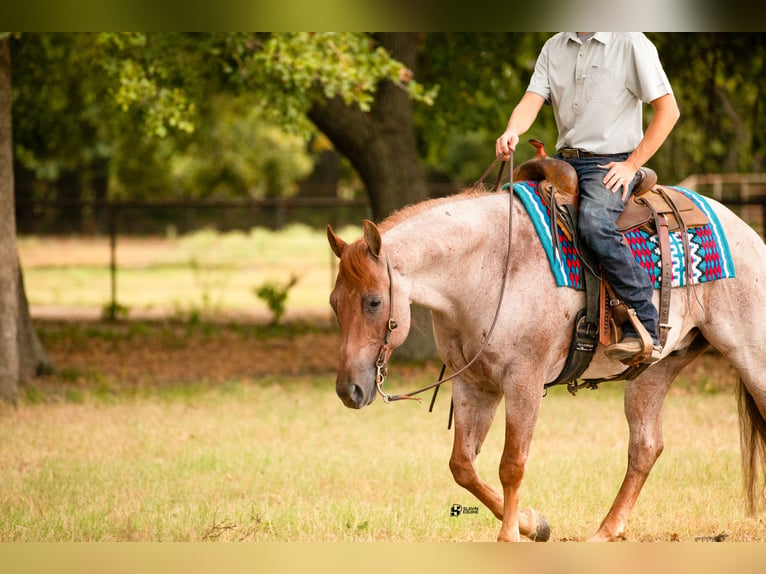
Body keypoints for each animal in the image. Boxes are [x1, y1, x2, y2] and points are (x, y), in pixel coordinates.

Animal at [328, 177, 766, 544]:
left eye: (374, 301)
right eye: (334, 303)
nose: (349, 390)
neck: (488, 267)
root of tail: (744, 231)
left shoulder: (524, 381)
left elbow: (512, 464)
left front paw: (509, 537)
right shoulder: (474, 384)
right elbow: (463, 466)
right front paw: (533, 524)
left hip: (752, 357)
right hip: (654, 370)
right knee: (645, 447)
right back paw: (605, 533)